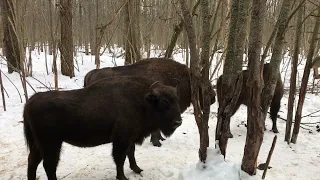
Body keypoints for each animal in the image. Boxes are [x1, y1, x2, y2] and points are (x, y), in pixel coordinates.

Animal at [23, 75, 182, 180]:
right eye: (164, 101)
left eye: (176, 99)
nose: (178, 122)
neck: (142, 101)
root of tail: (30, 102)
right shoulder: (121, 140)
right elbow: (120, 159)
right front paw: (122, 177)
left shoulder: (130, 139)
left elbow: (131, 154)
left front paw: (137, 169)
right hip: (51, 144)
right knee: (49, 165)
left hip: (39, 144)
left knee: (33, 161)